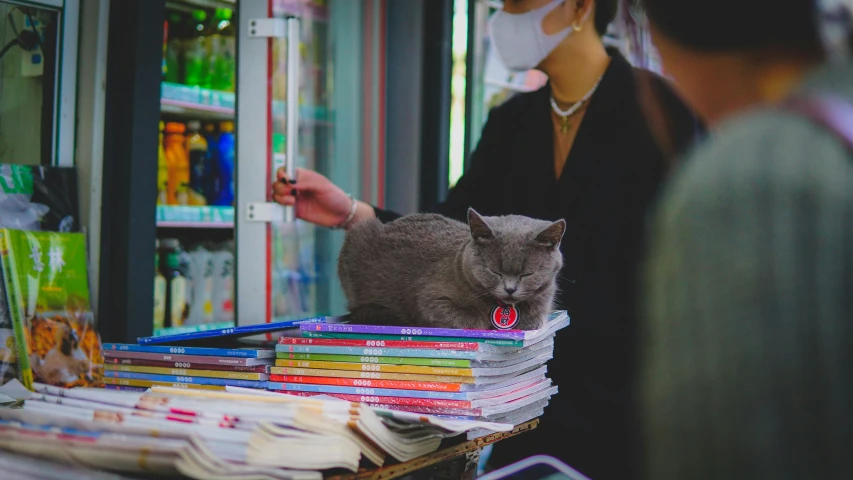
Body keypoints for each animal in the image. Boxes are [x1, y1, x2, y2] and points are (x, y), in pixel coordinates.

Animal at [334, 208, 564, 332]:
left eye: (527, 274)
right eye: (494, 271)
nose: (510, 289)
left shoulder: (545, 297)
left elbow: (534, 318)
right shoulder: (429, 299)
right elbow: (468, 319)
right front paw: (482, 321)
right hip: (358, 235)